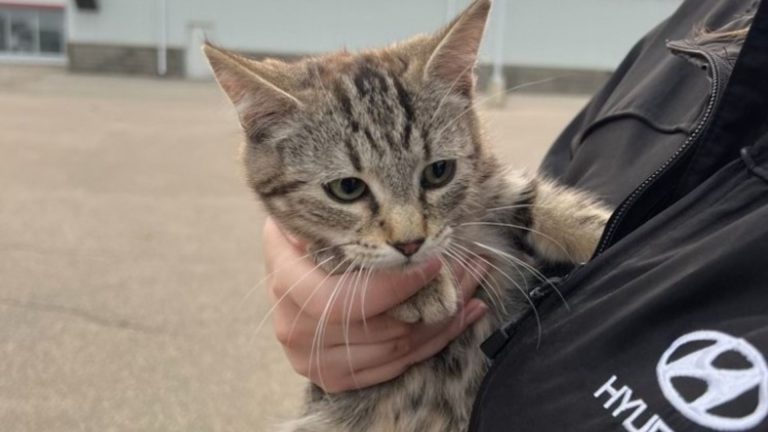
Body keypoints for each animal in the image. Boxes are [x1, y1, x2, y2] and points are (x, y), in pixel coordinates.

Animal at [202, 1, 608, 430]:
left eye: (438, 171)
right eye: (347, 189)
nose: (410, 242)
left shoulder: (495, 185)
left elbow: (543, 201)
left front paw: (598, 226)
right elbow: (340, 254)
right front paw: (420, 287)